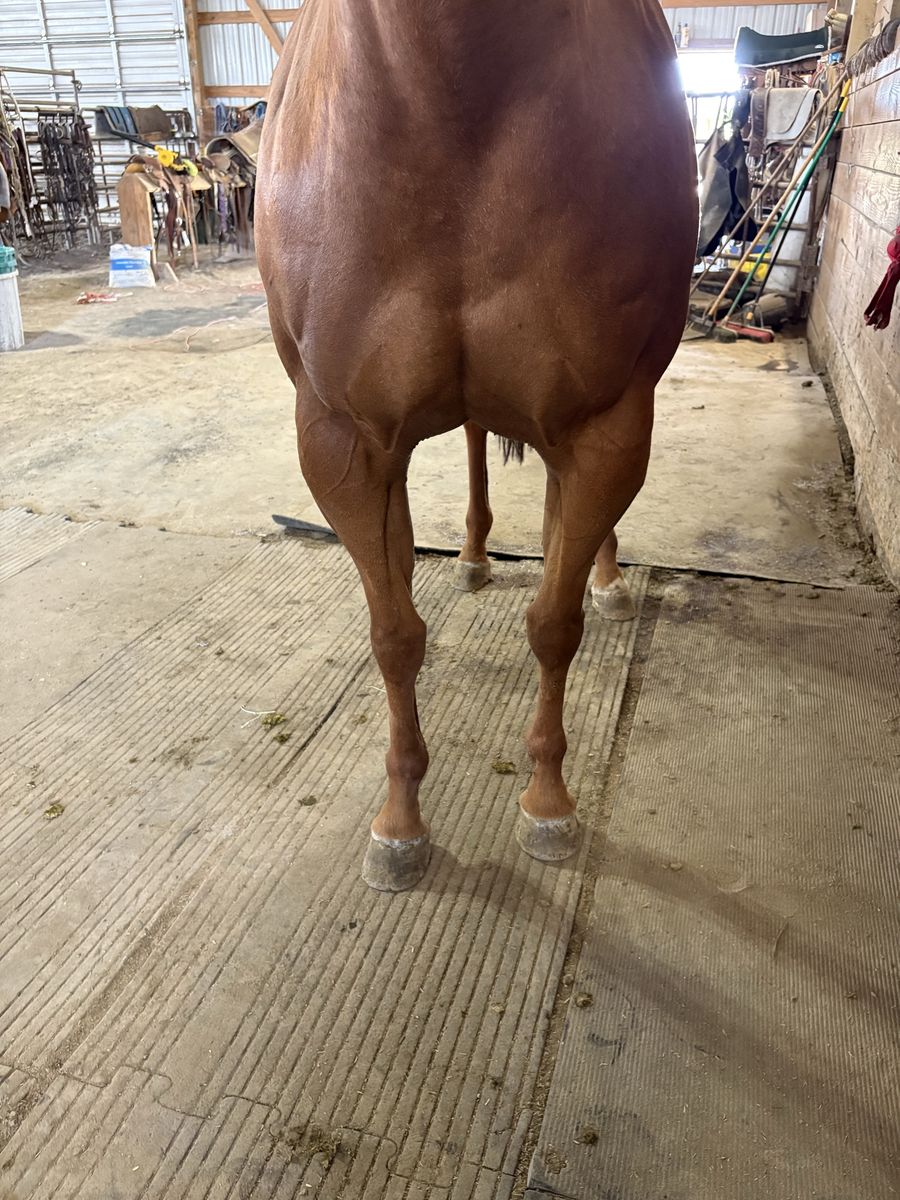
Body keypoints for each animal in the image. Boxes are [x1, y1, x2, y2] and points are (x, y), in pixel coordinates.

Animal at [256, 0, 698, 891]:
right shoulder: (344, 442)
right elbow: (394, 637)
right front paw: (400, 824)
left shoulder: (604, 427)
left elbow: (555, 623)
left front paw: (548, 805)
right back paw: (469, 556)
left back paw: (607, 578)